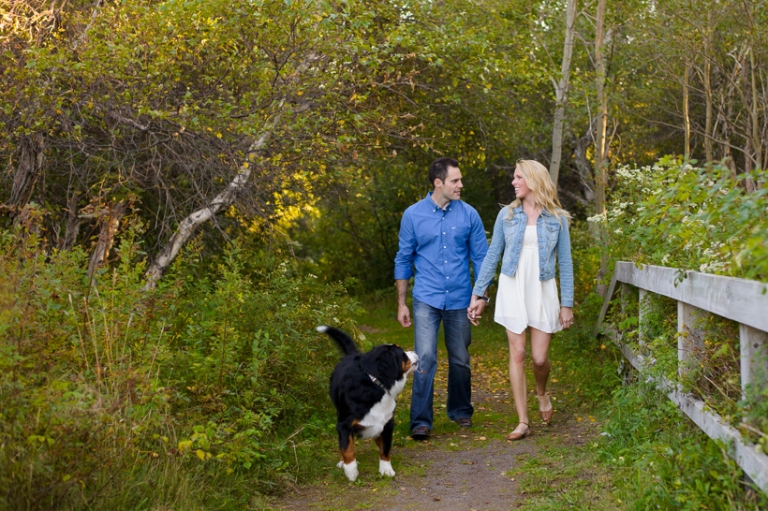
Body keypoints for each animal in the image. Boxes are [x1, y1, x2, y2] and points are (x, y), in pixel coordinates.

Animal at [316, 326, 420, 482]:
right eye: (402, 354)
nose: (415, 352)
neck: (376, 384)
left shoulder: (387, 423)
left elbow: (385, 448)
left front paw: (386, 469)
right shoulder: (344, 424)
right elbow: (347, 448)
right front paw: (351, 471)